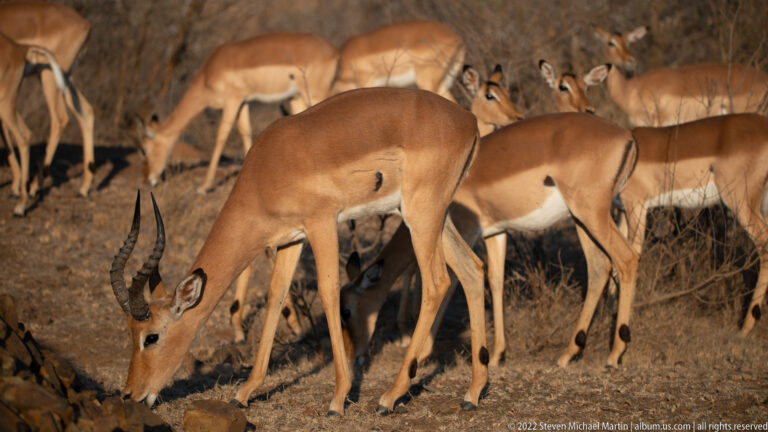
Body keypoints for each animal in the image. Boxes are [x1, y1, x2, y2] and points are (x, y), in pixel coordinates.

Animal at [0, 1, 95, 198]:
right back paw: (84, 188)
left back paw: (34, 187)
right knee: (86, 111)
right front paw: (15, 185)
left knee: (60, 118)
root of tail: (85, 23)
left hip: (48, 75)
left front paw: (16, 187)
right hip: (65, 77)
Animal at [110, 88, 489, 415]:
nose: (130, 394)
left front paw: (337, 399)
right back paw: (472, 394)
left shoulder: (321, 223)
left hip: (420, 215)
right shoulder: (291, 239)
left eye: (151, 336)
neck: (266, 170)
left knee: (438, 282)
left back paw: (389, 397)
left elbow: (327, 291)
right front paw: (244, 393)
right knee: (472, 269)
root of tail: (468, 119)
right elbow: (276, 296)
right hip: (434, 216)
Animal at [139, 33, 339, 194]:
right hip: (297, 96)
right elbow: (245, 131)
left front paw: (204, 187)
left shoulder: (232, 100)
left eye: (145, 149)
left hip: (316, 92)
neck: (208, 73)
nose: (149, 180)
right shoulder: (244, 102)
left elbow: (221, 136)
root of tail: (332, 50)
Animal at [341, 113, 640, 368]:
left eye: (346, 310)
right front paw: (497, 355)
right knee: (600, 267)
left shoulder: (465, 231)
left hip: (591, 214)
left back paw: (615, 354)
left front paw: (424, 353)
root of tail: (627, 136)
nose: (355, 358)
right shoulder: (495, 233)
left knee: (627, 259)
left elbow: (454, 282)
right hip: (581, 219)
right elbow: (495, 281)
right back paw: (568, 354)